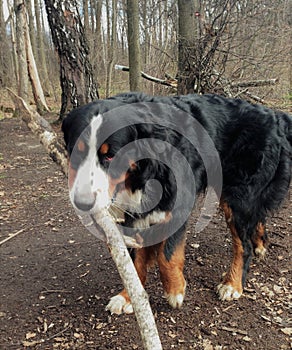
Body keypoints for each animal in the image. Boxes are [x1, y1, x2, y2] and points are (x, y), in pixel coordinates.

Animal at [61, 92, 290, 314]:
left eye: (110, 155)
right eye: (76, 152)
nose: (82, 203)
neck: (143, 171)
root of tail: (274, 115)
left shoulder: (177, 207)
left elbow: (167, 255)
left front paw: (175, 290)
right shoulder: (137, 214)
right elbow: (135, 262)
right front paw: (129, 297)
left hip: (237, 196)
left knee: (243, 245)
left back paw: (233, 283)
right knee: (258, 217)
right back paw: (260, 244)